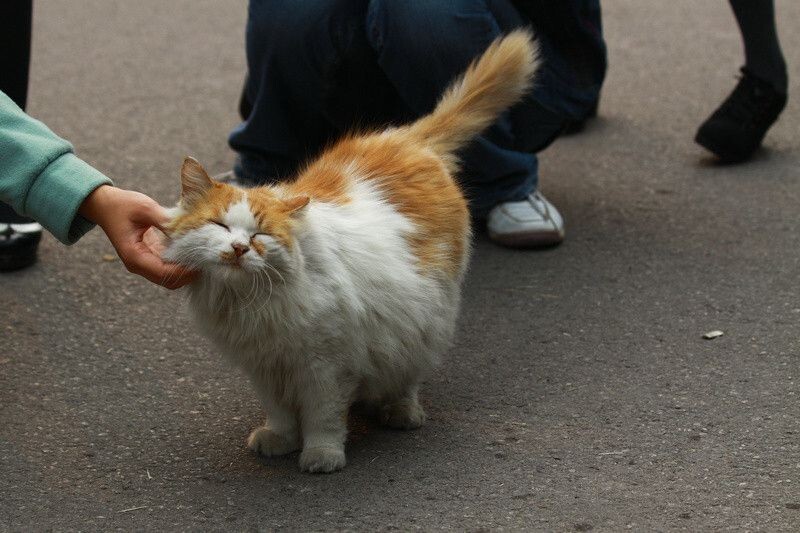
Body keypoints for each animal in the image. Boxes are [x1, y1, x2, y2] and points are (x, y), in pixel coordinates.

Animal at [162, 31, 536, 472]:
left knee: (408, 374)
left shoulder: (325, 365)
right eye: (220, 226)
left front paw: (321, 456)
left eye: (260, 235)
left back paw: (400, 412)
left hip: (426, 320)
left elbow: (322, 417)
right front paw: (280, 440)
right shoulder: (266, 367)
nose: (238, 248)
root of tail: (408, 138)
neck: (249, 303)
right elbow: (281, 413)